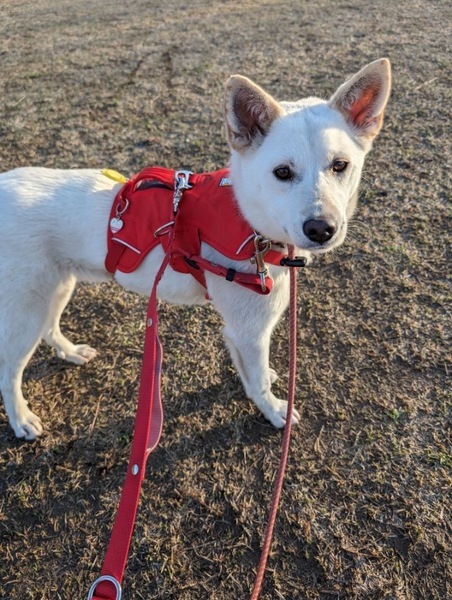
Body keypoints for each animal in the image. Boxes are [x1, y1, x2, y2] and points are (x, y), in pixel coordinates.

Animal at [0, 58, 391, 440]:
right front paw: (274, 411)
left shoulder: (242, 334)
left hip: (56, 288)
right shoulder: (249, 331)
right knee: (9, 372)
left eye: (340, 165)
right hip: (25, 312)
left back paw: (70, 352)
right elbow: (258, 383)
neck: (248, 221)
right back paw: (21, 420)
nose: (321, 229)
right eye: (282, 172)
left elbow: (254, 374)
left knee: (50, 329)